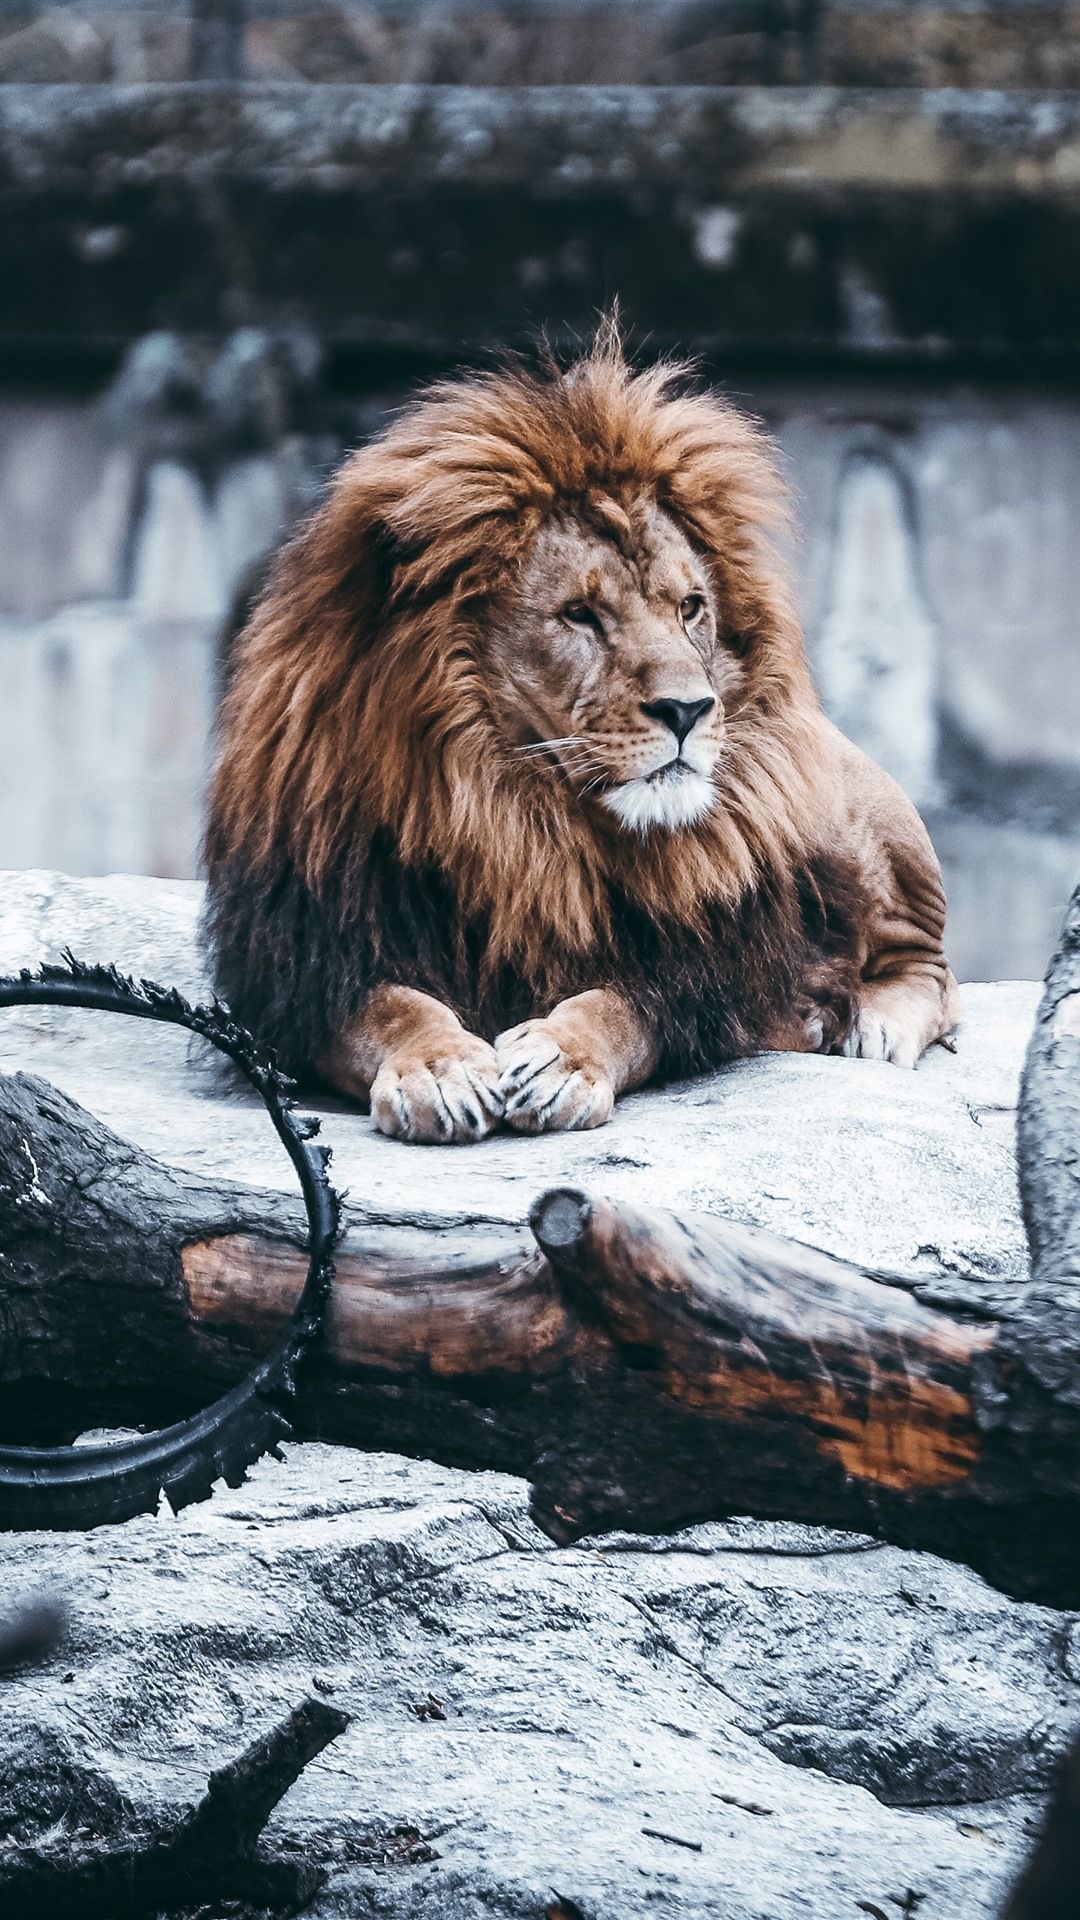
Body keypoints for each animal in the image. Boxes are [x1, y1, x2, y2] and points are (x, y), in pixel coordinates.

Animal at [204, 331, 961, 1144]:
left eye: (691, 607)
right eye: (580, 615)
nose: (690, 709)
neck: (513, 819)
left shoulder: (705, 971)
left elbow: (623, 1006)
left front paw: (560, 1060)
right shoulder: (299, 970)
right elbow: (389, 1006)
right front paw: (437, 1069)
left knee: (933, 970)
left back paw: (867, 1027)